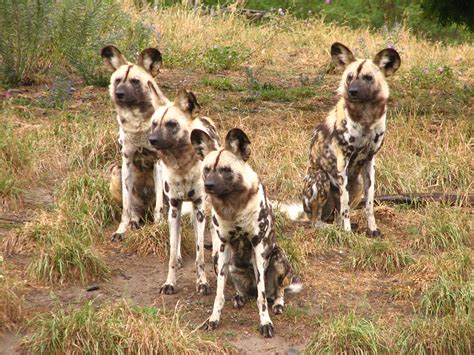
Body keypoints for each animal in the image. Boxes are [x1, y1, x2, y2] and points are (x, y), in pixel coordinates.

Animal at [101, 44, 169, 241]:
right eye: (117, 80)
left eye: (135, 81)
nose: (119, 94)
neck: (138, 123)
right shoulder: (127, 161)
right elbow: (126, 208)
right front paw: (122, 229)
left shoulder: (158, 162)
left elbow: (159, 208)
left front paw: (159, 228)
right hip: (117, 171)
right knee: (135, 210)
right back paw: (134, 222)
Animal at [148, 90, 218, 296]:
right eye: (154, 123)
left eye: (172, 124)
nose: (152, 140)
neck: (182, 165)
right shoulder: (174, 205)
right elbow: (171, 251)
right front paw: (170, 283)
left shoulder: (199, 206)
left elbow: (200, 254)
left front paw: (202, 283)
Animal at [191, 128, 302, 340]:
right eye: (207, 169)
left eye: (225, 170)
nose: (208, 185)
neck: (233, 206)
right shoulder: (223, 245)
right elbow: (219, 295)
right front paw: (213, 319)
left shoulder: (258, 247)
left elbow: (261, 299)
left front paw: (265, 323)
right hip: (219, 259)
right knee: (239, 288)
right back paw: (239, 296)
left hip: (277, 257)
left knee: (276, 291)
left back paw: (277, 304)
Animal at [304, 42, 400, 236]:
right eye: (350, 77)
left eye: (368, 78)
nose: (353, 91)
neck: (366, 116)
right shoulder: (343, 161)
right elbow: (345, 205)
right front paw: (347, 232)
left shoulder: (369, 161)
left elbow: (369, 204)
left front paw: (372, 229)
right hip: (321, 178)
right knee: (317, 220)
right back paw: (334, 228)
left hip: (357, 184)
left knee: (337, 214)